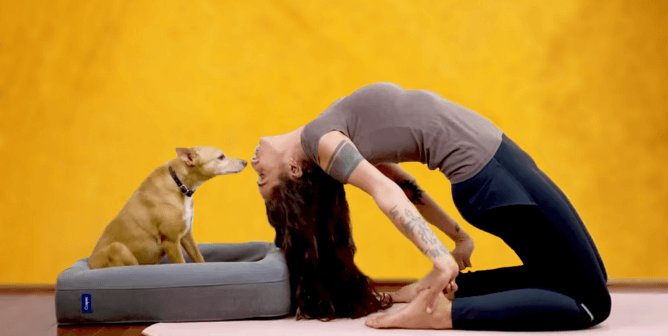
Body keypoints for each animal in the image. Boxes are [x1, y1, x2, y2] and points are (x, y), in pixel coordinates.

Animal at [87, 146, 247, 270]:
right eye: (221, 157)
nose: (245, 162)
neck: (179, 184)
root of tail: (90, 264)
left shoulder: (186, 235)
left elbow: (199, 258)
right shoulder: (171, 241)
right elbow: (180, 263)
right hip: (117, 248)